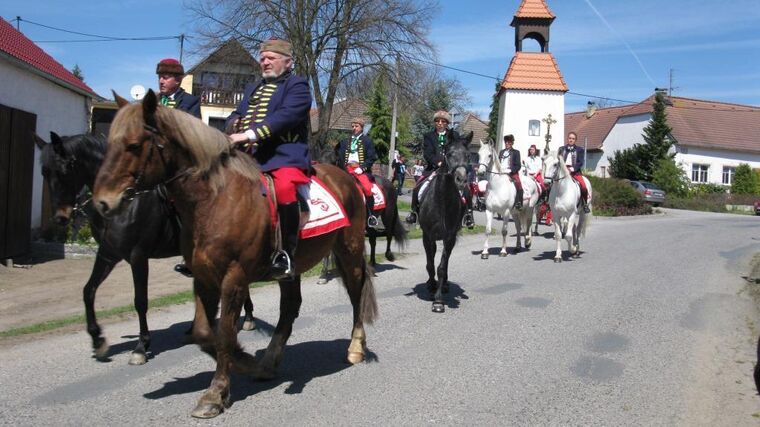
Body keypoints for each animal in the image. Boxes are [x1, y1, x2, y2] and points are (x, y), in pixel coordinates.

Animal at [34, 133, 255, 364]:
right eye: (44, 172)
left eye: (65, 169)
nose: (60, 218)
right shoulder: (107, 254)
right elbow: (88, 291)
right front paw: (98, 340)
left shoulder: (138, 256)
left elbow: (140, 300)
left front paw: (141, 347)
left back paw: (247, 318)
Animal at [93, 91, 378, 422]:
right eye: (110, 143)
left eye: (134, 145)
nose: (102, 203)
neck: (214, 199)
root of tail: (346, 178)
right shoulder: (203, 277)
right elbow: (205, 332)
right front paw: (243, 362)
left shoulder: (234, 279)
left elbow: (226, 334)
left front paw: (215, 394)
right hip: (291, 269)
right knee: (290, 308)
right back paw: (268, 363)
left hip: (349, 251)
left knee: (356, 294)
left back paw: (355, 347)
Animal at [418, 132, 472, 312]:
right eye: (449, 154)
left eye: (468, 155)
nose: (461, 179)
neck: (442, 201)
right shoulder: (427, 236)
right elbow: (430, 263)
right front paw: (431, 286)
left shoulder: (449, 236)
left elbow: (442, 266)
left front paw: (438, 300)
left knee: (445, 261)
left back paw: (445, 284)